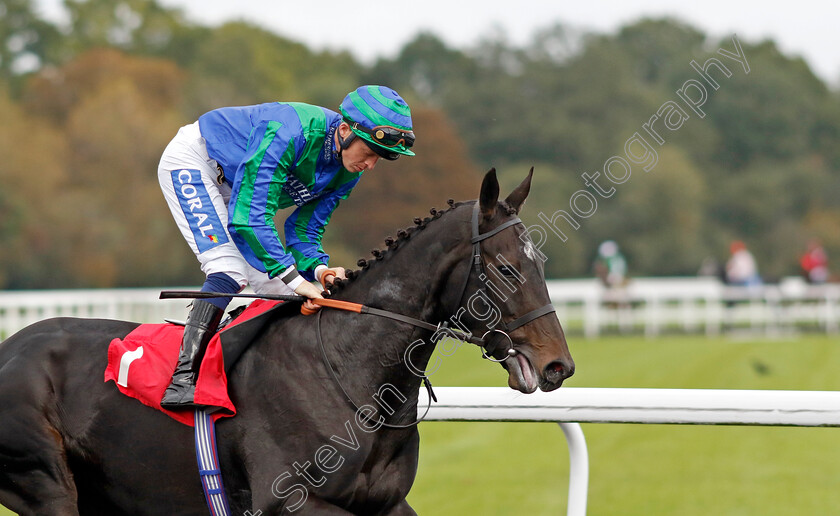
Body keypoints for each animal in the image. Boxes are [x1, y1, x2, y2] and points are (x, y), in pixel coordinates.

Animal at [0, 167, 572, 512]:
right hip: (45, 483)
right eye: (505, 269)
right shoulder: (288, 500)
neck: (348, 374)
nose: (558, 366)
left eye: (542, 263)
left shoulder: (387, 502)